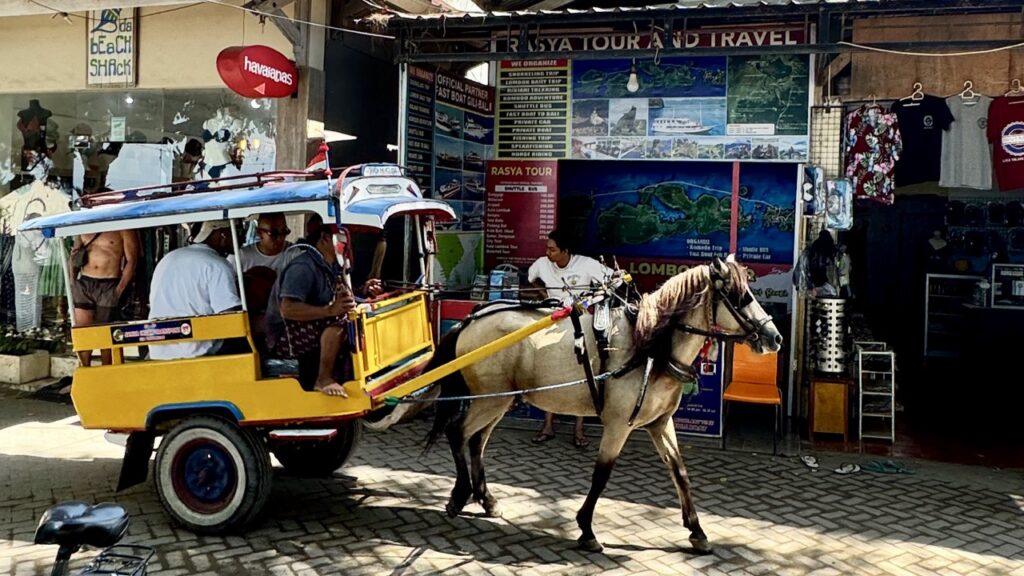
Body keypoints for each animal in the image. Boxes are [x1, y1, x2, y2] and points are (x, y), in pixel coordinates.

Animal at [415, 255, 782, 553]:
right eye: (740, 297)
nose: (775, 337)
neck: (649, 347)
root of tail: (470, 320)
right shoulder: (619, 425)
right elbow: (601, 475)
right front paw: (587, 529)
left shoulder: (659, 423)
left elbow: (679, 471)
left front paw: (696, 530)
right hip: (490, 400)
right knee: (457, 432)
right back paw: (460, 495)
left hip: (497, 401)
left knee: (476, 440)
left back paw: (486, 499)